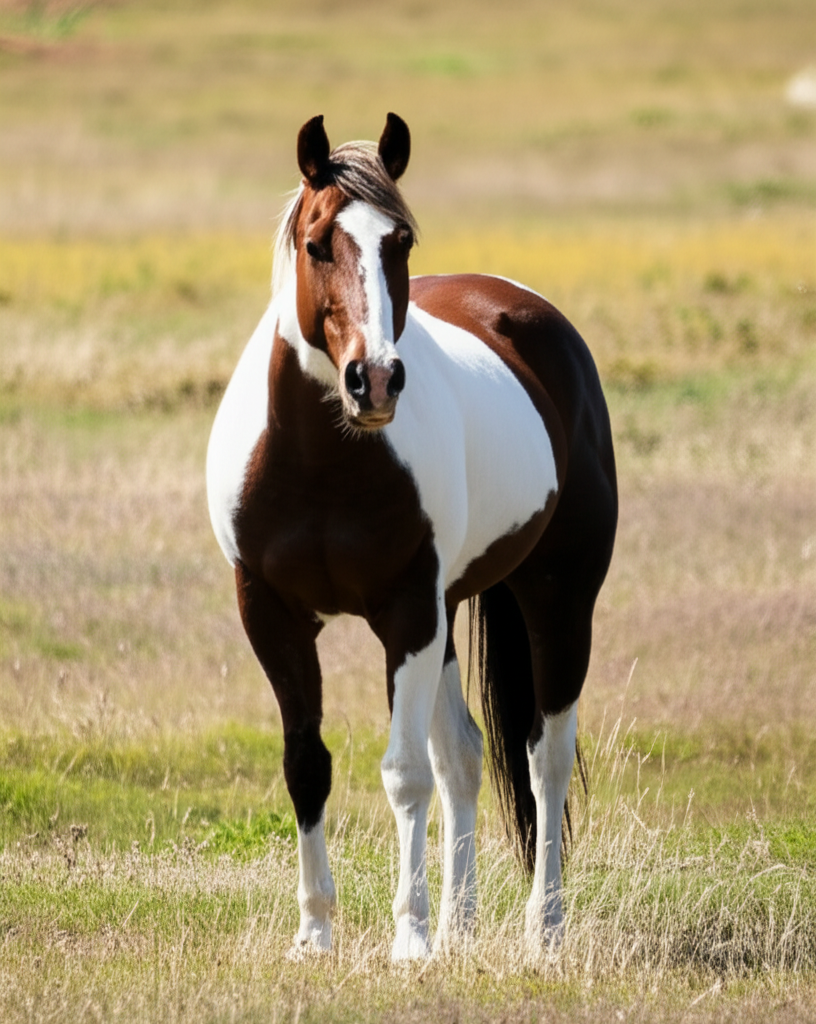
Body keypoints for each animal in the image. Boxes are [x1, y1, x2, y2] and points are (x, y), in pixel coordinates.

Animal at [206, 113, 617, 961]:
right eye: (318, 242)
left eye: (401, 242)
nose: (376, 381)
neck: (318, 460)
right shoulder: (271, 613)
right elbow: (308, 763)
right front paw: (315, 934)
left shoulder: (406, 613)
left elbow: (403, 773)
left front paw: (410, 939)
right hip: (451, 612)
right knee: (463, 753)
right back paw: (463, 924)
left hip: (557, 598)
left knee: (544, 757)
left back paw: (543, 928)